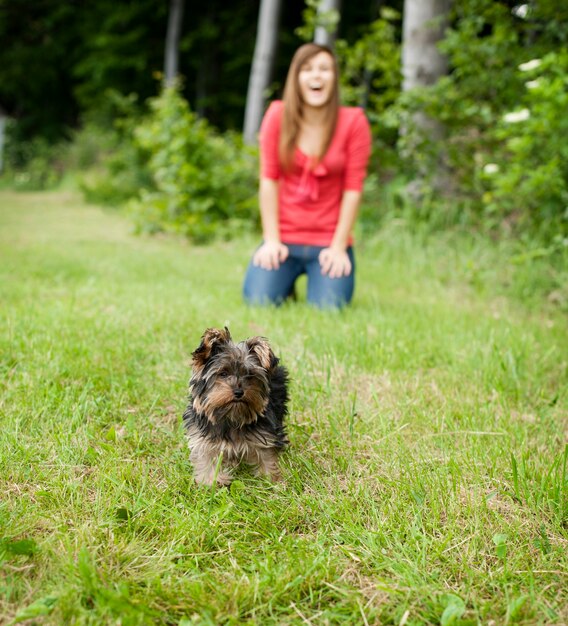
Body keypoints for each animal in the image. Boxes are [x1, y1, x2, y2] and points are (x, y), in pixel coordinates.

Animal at [183, 330, 288, 486]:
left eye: (250, 375)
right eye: (223, 373)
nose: (239, 392)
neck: (231, 416)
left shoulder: (265, 434)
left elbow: (267, 456)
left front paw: (271, 480)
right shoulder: (203, 438)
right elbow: (206, 458)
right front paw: (212, 481)